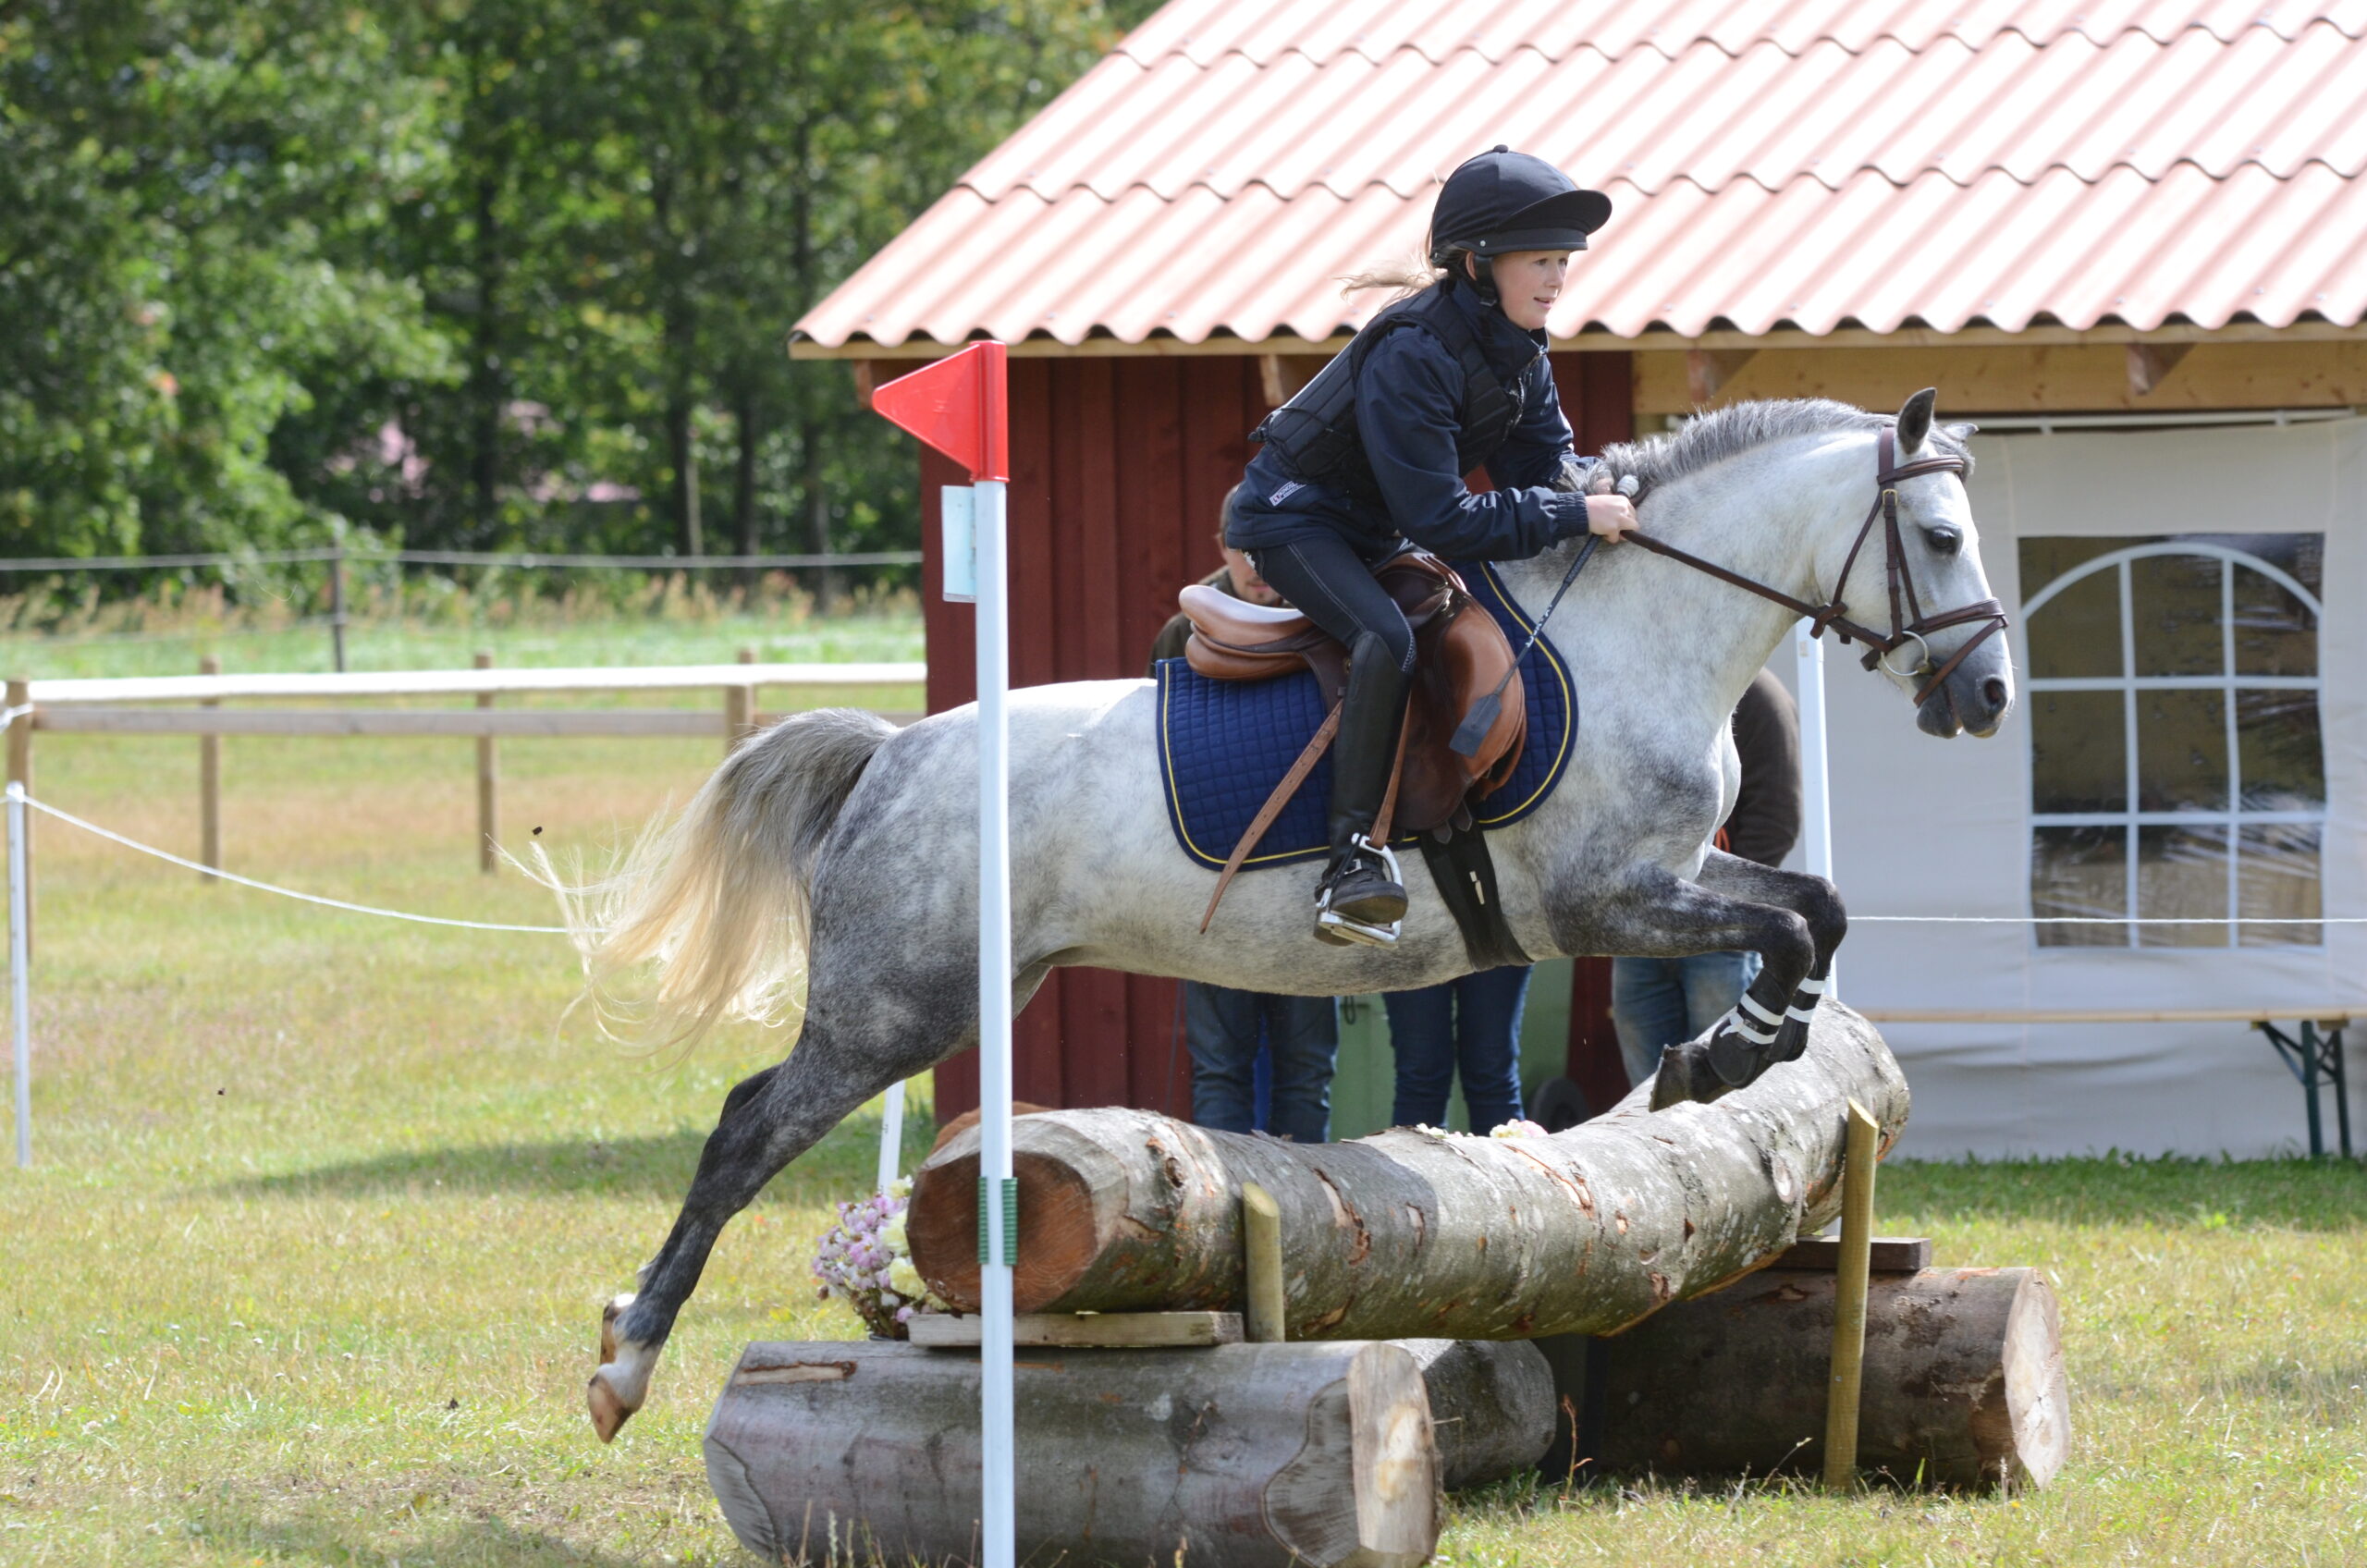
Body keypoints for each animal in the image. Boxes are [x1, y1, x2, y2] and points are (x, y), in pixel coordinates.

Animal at [558, 390, 2017, 1439]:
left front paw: (1733, 1050)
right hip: (897, 1005)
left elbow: (1814, 909)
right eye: (1942, 539)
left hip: (958, 991)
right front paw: (1721, 1054)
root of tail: (889, 754)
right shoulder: (1601, 898)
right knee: (745, 1130)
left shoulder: (1677, 872)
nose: (1990, 696)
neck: (1640, 632)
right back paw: (627, 1361)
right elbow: (1788, 928)